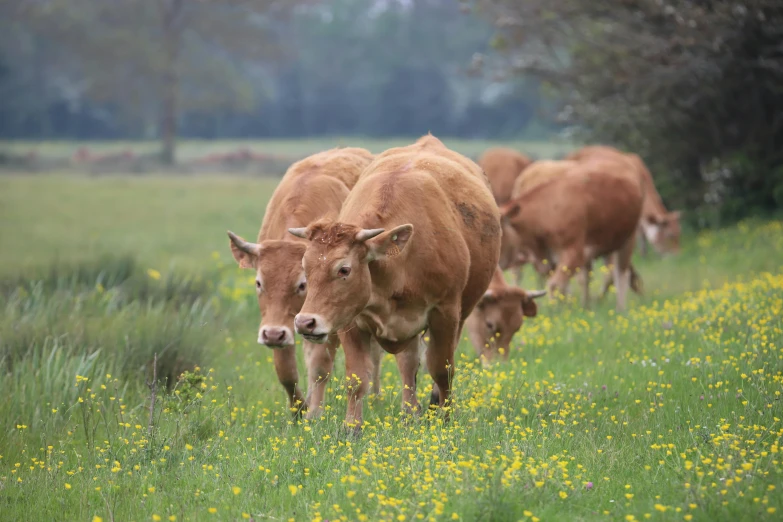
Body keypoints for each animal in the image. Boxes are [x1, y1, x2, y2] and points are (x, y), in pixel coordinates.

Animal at [225, 146, 382, 418]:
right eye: (259, 283)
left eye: (302, 284)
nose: (272, 335)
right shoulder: (286, 323)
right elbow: (286, 371)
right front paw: (299, 409)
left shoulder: (329, 324)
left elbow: (320, 367)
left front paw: (314, 413)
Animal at [288, 134, 502, 430]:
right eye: (305, 268)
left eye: (344, 269)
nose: (305, 322)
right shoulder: (351, 321)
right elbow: (357, 379)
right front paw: (352, 428)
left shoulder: (445, 313)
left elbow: (442, 369)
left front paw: (446, 419)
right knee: (408, 364)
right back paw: (410, 412)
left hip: (461, 312)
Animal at [500, 154, 648, 308]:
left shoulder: (574, 253)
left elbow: (555, 285)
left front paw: (555, 309)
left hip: (628, 239)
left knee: (620, 275)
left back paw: (620, 308)